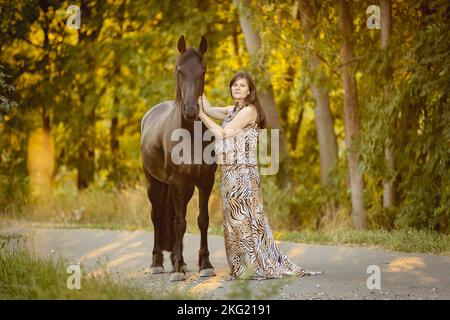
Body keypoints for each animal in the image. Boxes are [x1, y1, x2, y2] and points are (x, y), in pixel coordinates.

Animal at [142, 34, 217, 280]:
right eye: (180, 70)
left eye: (203, 71)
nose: (191, 110)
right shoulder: (175, 182)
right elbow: (178, 223)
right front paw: (176, 271)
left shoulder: (205, 182)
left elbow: (202, 220)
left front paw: (205, 265)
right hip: (154, 184)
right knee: (157, 216)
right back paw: (157, 263)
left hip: (185, 189)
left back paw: (179, 260)